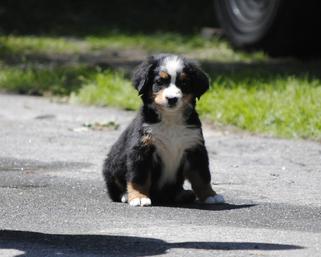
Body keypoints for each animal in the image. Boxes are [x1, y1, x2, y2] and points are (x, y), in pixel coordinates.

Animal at [102, 54, 222, 206]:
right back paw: (125, 195)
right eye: (159, 81)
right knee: (114, 189)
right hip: (112, 164)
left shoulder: (195, 147)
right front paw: (139, 197)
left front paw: (210, 195)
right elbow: (139, 177)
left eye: (184, 83)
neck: (170, 119)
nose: (172, 99)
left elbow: (202, 176)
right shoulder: (141, 149)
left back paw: (183, 194)